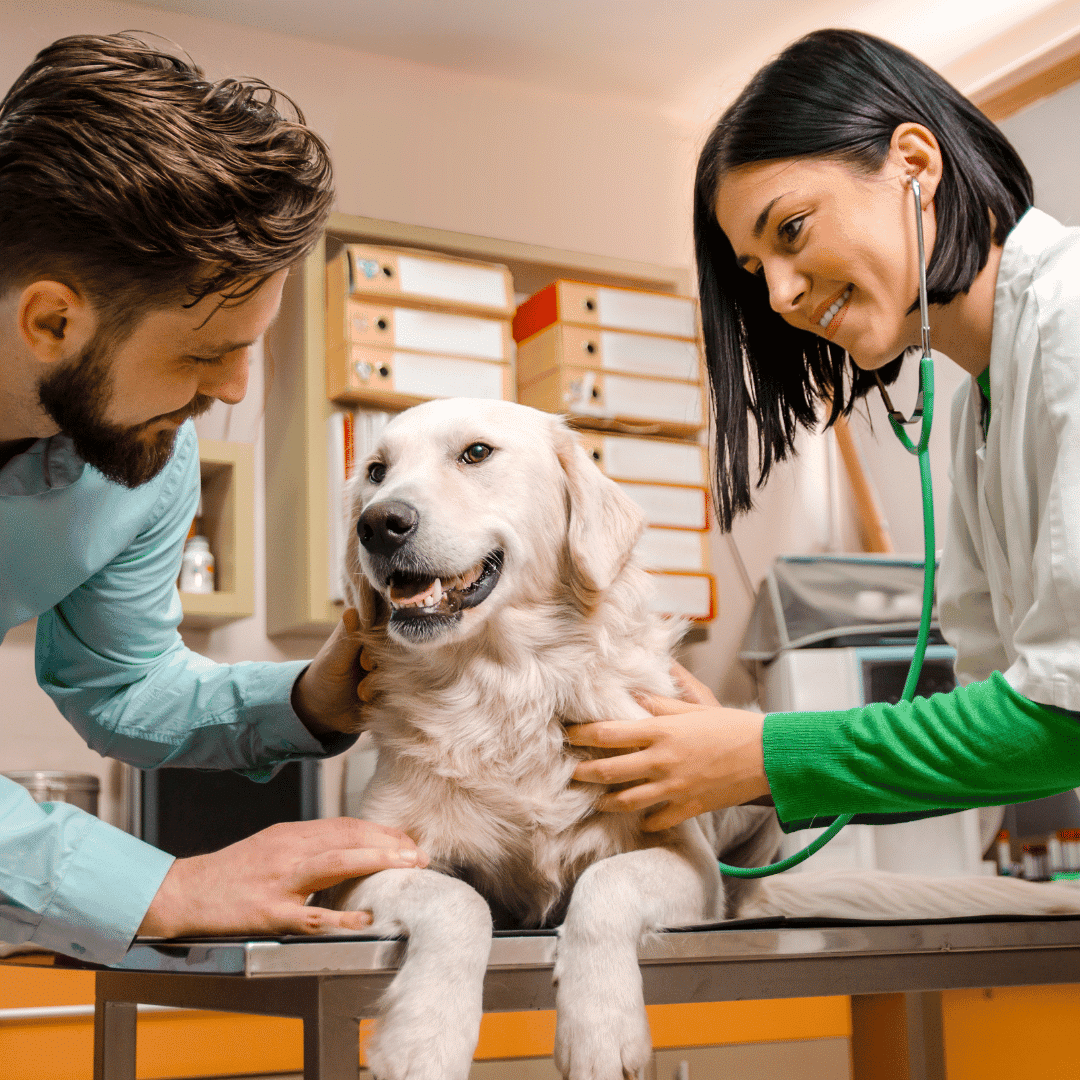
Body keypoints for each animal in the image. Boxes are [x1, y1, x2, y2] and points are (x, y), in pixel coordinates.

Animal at [326, 399, 1080, 1080]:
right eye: (376, 470)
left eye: (476, 453)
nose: (379, 523)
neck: (507, 687)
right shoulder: (361, 872)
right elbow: (458, 902)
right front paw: (423, 1039)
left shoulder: (685, 863)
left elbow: (605, 884)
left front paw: (601, 1029)